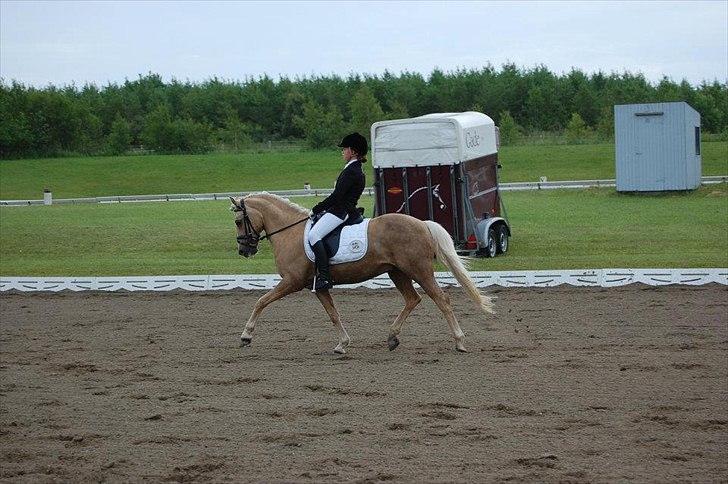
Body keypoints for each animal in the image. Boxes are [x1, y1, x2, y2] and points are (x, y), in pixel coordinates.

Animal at [229, 193, 495, 353]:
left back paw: (459, 341)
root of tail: (422, 224)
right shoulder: (318, 286)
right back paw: (392, 337)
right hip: (397, 272)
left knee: (442, 300)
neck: (290, 232)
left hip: (419, 270)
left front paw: (246, 335)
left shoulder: (291, 281)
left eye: (238, 221)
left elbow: (261, 301)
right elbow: (333, 313)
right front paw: (342, 344)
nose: (244, 250)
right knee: (413, 299)